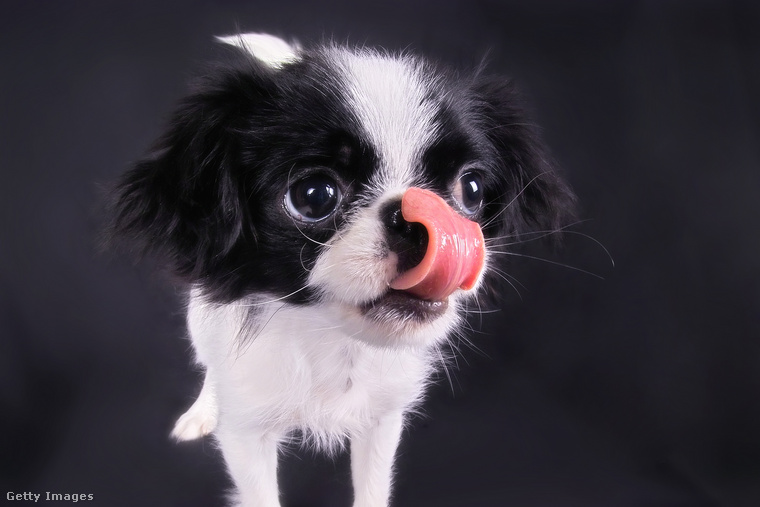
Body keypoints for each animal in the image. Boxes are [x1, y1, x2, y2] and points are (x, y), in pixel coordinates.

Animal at [111, 33, 576, 506]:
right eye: (314, 195)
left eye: (472, 189)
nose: (416, 218)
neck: (333, 340)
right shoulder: (246, 433)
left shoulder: (382, 417)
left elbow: (371, 488)